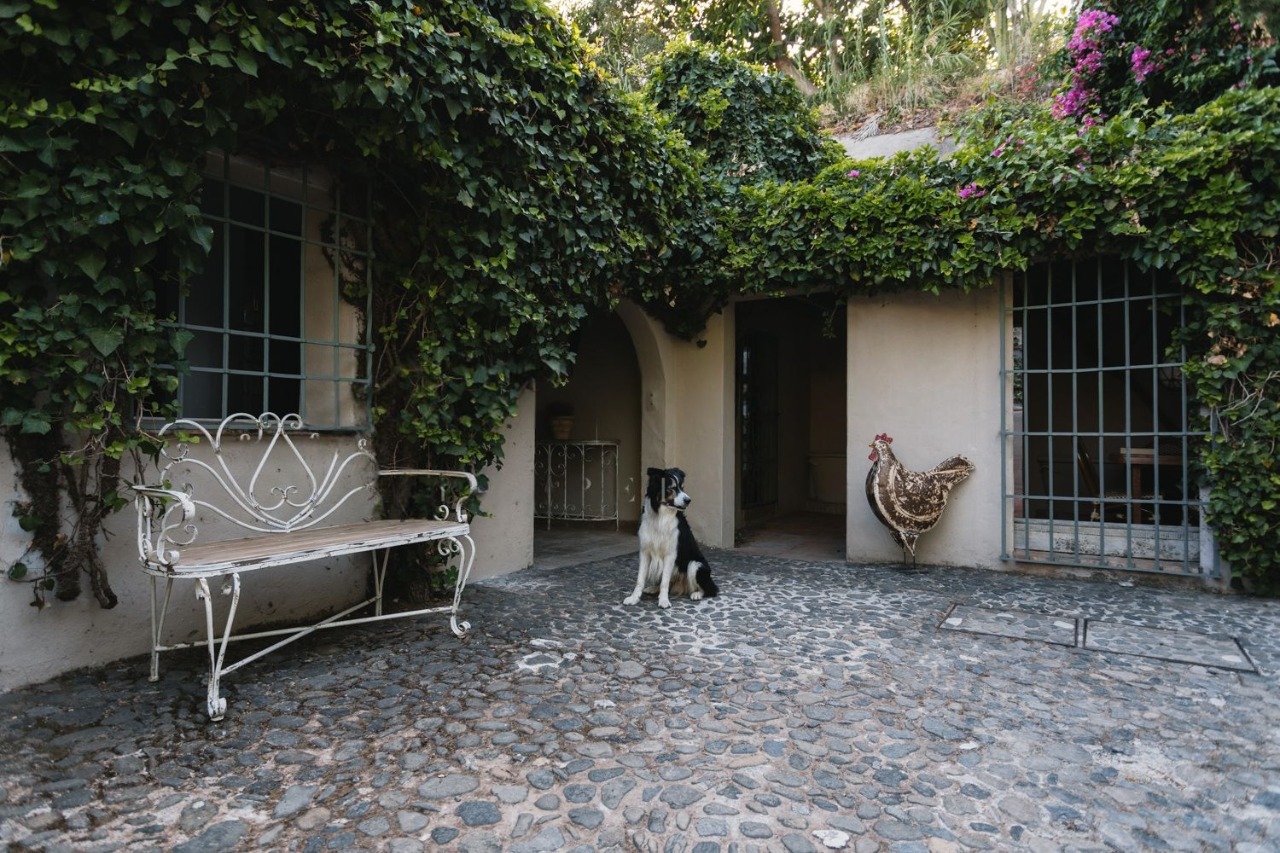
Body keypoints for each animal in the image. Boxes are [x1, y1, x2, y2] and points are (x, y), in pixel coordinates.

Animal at [624, 467, 718, 609]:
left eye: (682, 487)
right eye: (672, 488)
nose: (689, 500)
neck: (661, 516)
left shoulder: (670, 554)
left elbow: (665, 581)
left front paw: (663, 601)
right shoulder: (645, 552)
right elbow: (640, 579)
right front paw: (634, 598)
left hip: (696, 565)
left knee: (707, 589)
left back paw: (696, 594)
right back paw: (653, 588)